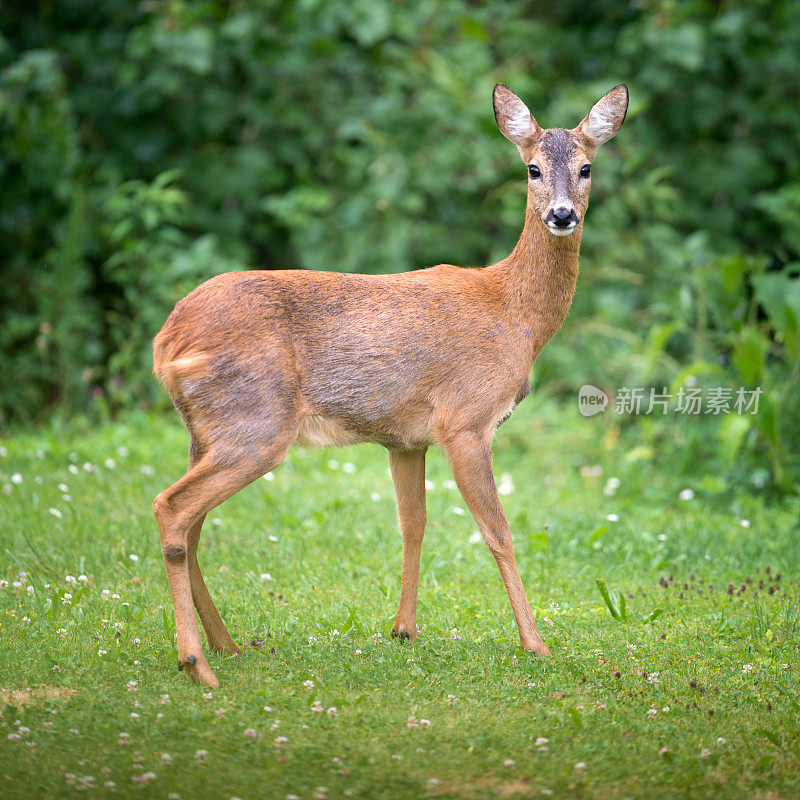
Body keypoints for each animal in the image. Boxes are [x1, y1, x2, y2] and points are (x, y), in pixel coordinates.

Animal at [155, 81, 632, 684]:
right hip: (255, 422)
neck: (514, 313)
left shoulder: (406, 440)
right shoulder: (466, 419)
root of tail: (167, 342)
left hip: (209, 430)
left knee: (191, 525)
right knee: (172, 509)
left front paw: (403, 630)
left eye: (587, 166)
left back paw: (226, 645)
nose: (563, 214)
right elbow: (497, 532)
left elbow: (414, 524)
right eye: (533, 169)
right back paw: (197, 662)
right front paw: (536, 644)